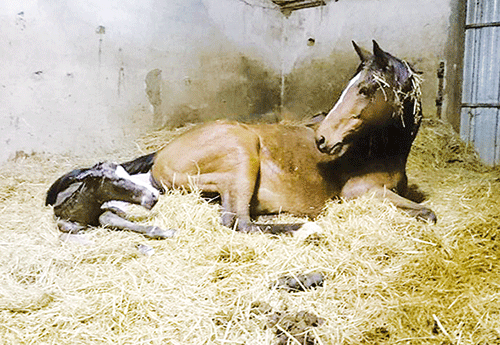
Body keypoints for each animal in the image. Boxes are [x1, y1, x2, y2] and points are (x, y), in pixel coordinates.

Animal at [129, 41, 434, 234]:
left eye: (366, 89)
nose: (322, 138)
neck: (378, 154)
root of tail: (160, 156)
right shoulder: (360, 193)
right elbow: (428, 213)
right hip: (242, 152)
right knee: (239, 222)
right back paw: (306, 229)